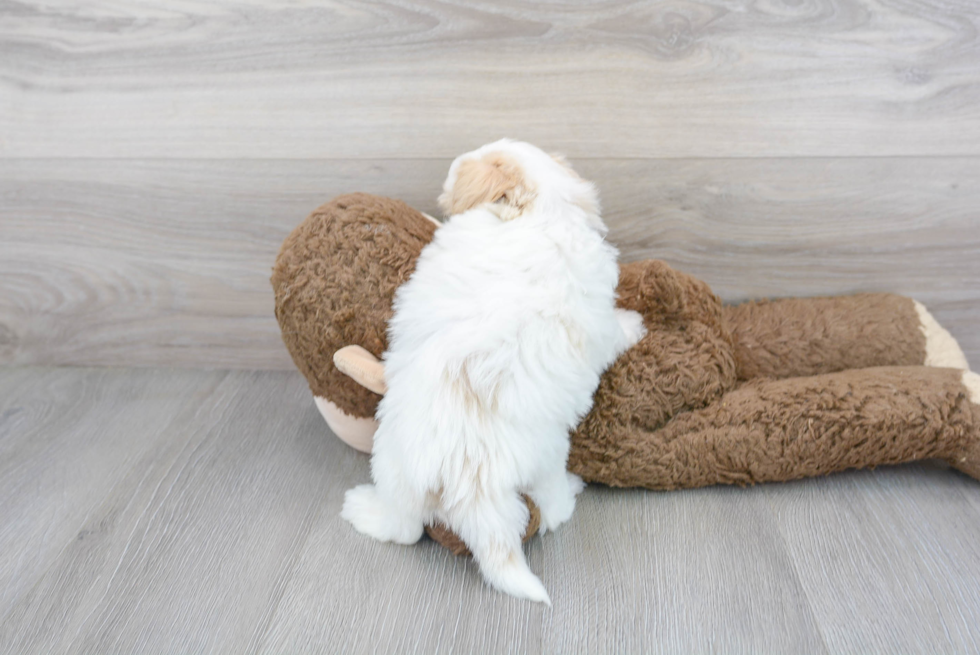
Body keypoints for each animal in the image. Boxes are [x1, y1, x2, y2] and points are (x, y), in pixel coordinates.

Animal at [340, 140, 648, 604]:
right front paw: (635, 324)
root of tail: (468, 479)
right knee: (547, 511)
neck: (540, 213)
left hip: (399, 465)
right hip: (536, 464)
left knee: (405, 527)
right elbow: (613, 328)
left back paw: (361, 509)